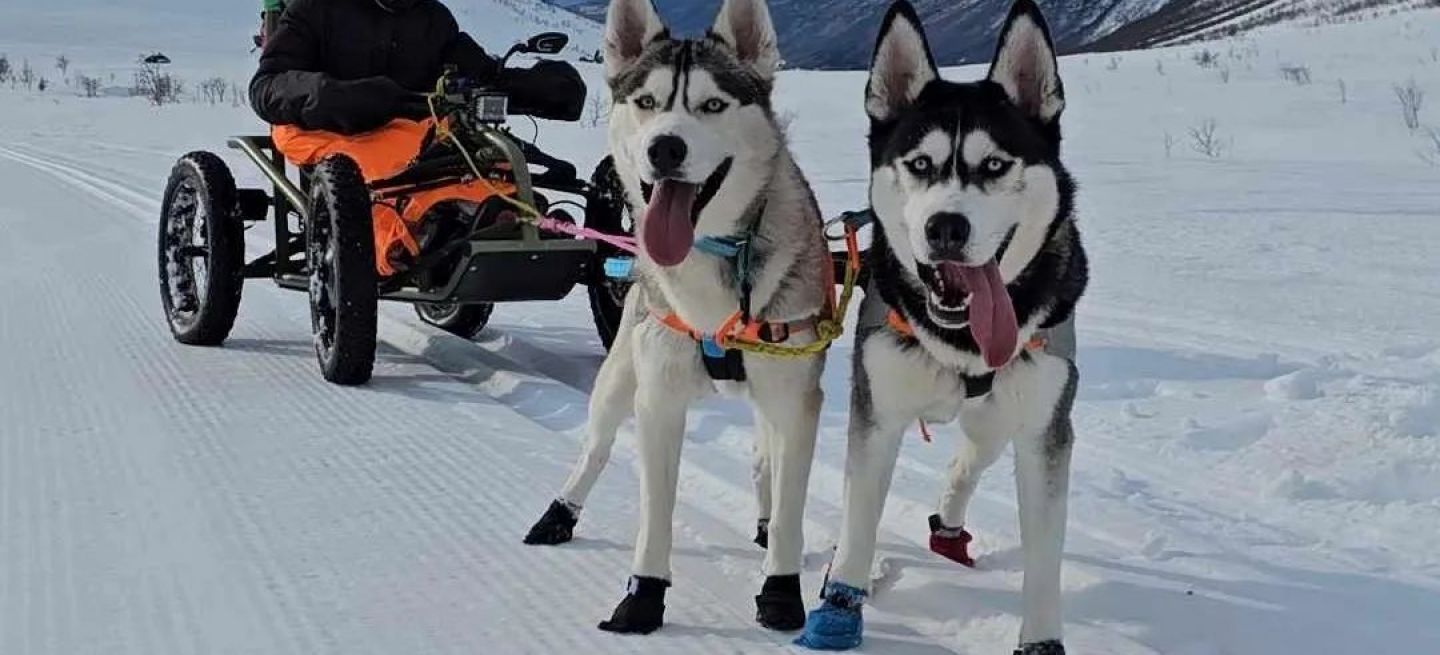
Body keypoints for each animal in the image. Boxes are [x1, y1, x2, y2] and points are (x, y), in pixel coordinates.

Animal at [524, 0, 829, 639]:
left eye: (712, 105)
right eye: (646, 101)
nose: (665, 148)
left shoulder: (795, 400)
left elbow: (790, 507)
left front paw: (782, 590)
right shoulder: (658, 397)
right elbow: (656, 510)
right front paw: (643, 598)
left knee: (766, 461)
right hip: (619, 375)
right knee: (595, 448)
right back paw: (559, 513)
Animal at [794, 1, 1082, 655]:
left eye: (996, 165)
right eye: (920, 164)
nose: (945, 227)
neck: (964, 343)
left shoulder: (1043, 432)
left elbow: (1045, 557)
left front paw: (1041, 641)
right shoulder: (877, 414)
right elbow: (859, 518)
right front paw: (839, 608)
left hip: (1001, 419)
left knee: (969, 460)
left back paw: (949, 525)